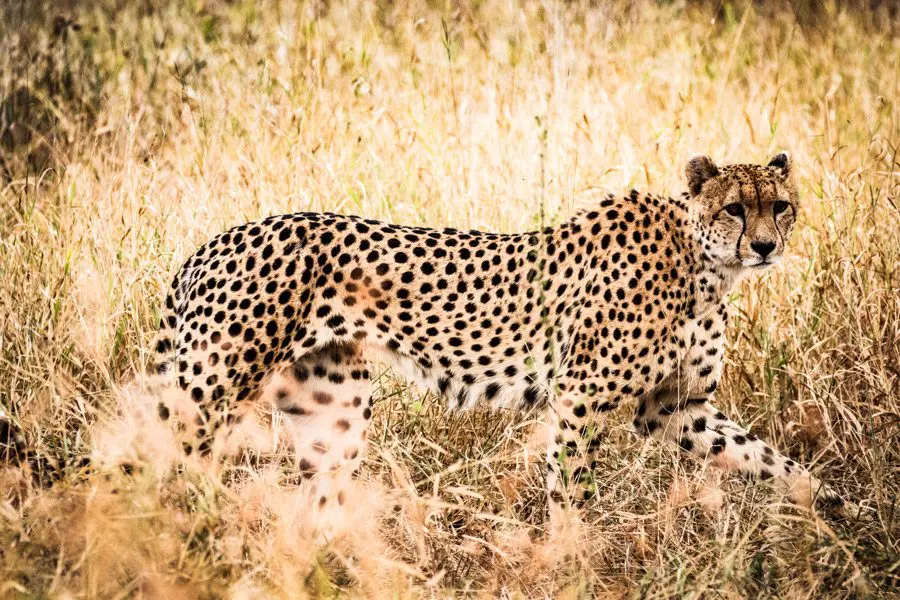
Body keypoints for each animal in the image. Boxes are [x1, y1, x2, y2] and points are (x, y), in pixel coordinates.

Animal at [148, 154, 844, 516]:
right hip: (210, 392)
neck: (703, 264)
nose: (765, 245)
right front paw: (573, 558)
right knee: (148, 463)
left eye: (780, 206)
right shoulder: (580, 397)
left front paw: (826, 508)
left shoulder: (677, 407)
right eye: (735, 208)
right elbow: (573, 492)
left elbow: (766, 458)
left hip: (333, 411)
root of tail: (218, 239)